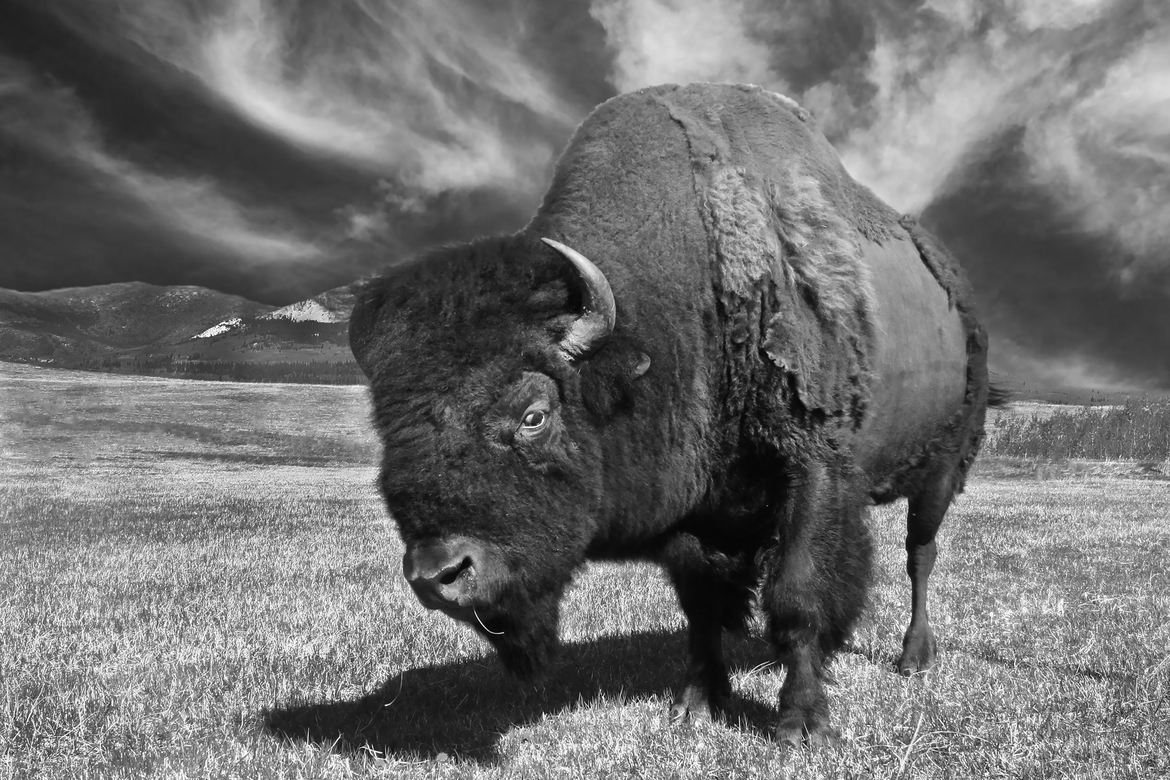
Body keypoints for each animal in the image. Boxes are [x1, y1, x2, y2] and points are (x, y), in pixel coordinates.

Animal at [349, 83, 1003, 746]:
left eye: (534, 414)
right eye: (387, 425)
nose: (438, 574)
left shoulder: (816, 473)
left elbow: (800, 591)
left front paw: (801, 724)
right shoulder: (698, 506)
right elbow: (703, 604)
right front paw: (697, 704)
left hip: (941, 472)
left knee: (920, 553)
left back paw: (913, 657)